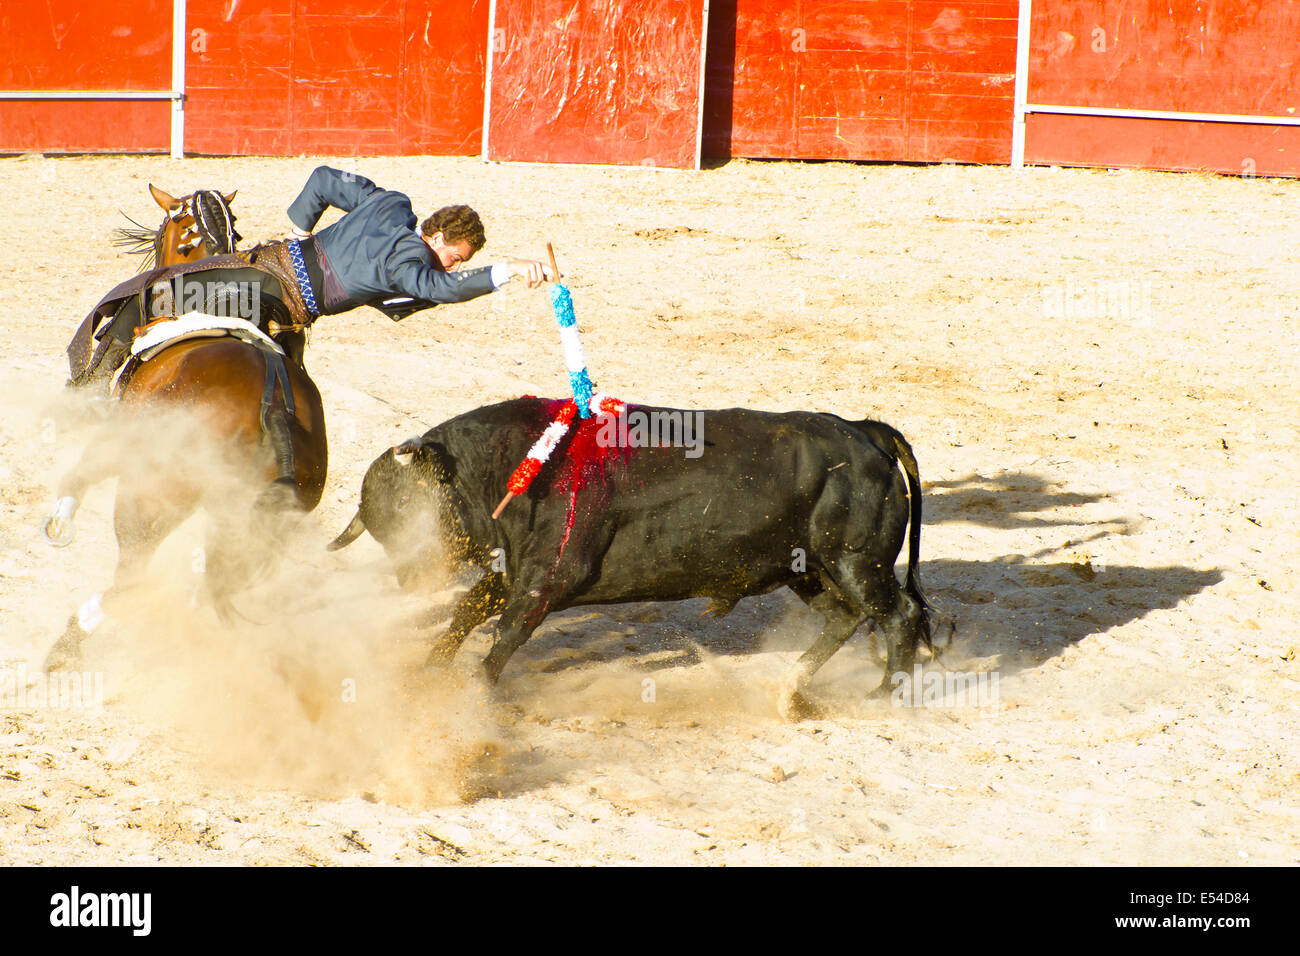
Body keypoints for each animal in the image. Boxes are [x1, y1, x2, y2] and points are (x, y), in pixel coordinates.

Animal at [45, 184, 330, 665]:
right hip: (252, 528)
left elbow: (84, 470)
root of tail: (273, 411)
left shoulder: (124, 433)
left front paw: (60, 521)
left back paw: (67, 642)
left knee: (134, 573)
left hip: (151, 498)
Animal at [330, 395, 930, 717]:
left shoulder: (546, 579)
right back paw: (787, 687)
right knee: (846, 617)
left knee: (898, 614)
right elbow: (464, 616)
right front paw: (425, 677)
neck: (511, 468)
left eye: (407, 503)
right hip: (806, 570)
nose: (411, 578)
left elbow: (503, 637)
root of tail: (865, 432)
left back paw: (883, 694)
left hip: (856, 561)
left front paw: (470, 696)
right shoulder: (512, 573)